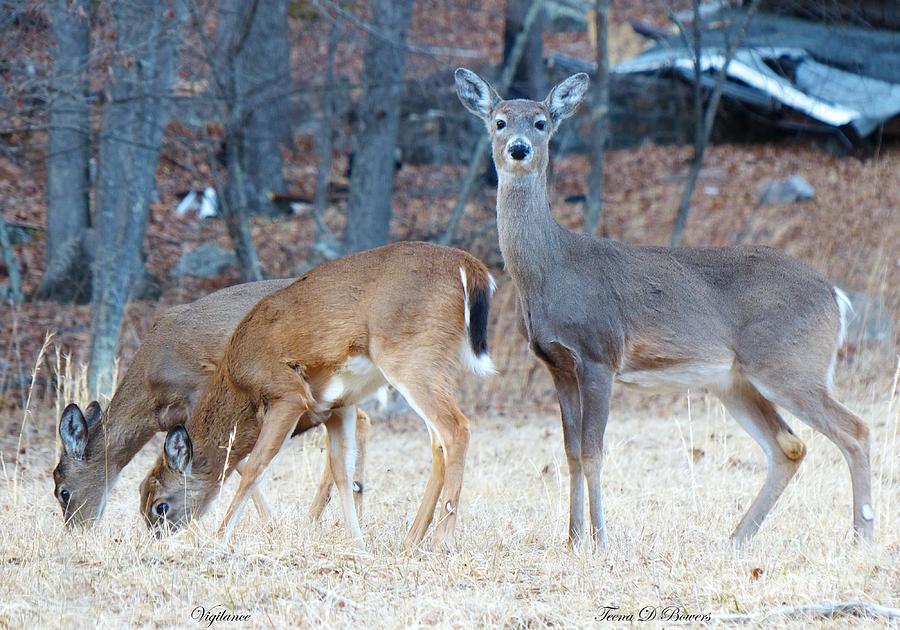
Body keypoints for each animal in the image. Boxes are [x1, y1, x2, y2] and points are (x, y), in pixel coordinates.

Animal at [54, 280, 370, 528]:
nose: (77, 530)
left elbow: (234, 459)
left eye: (63, 492)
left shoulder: (203, 391)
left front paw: (268, 522)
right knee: (361, 419)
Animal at [137, 243, 496, 552]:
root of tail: (471, 268)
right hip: (430, 366)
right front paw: (358, 544)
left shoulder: (288, 394)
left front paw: (219, 540)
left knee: (457, 428)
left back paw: (442, 542)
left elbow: (255, 467)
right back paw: (411, 541)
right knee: (438, 444)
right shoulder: (339, 406)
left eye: (160, 506)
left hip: (410, 359)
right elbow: (342, 473)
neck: (240, 383)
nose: (157, 540)